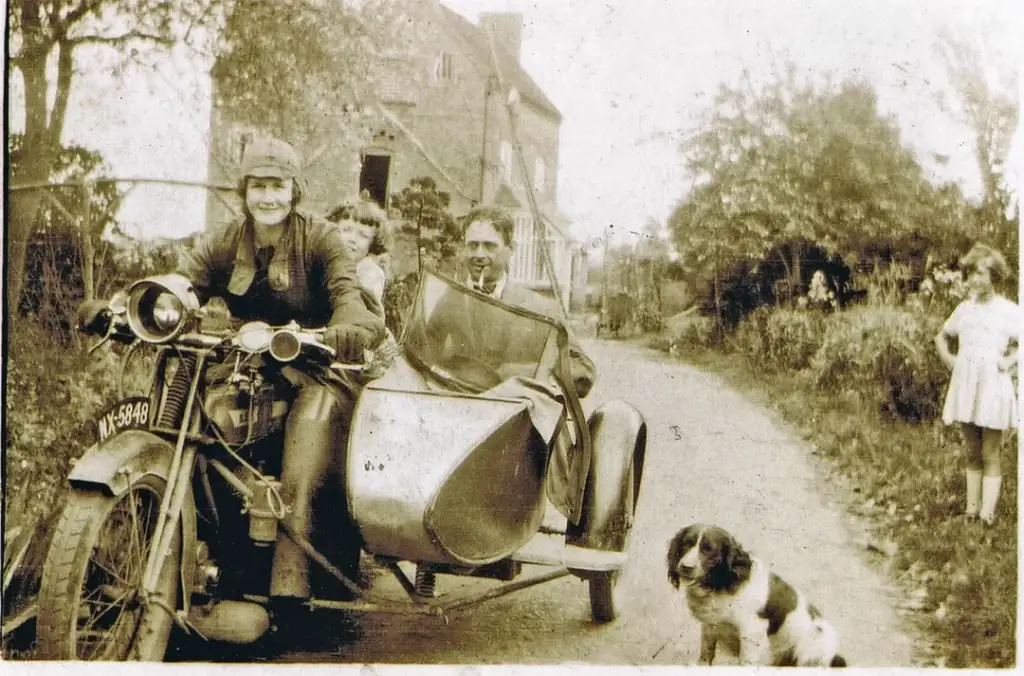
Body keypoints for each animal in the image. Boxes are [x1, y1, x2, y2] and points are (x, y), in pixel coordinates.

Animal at [663, 522, 847, 663]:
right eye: (686, 543)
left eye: (708, 549)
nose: (685, 567)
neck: (723, 586)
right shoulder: (711, 627)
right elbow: (706, 656)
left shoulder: (751, 635)